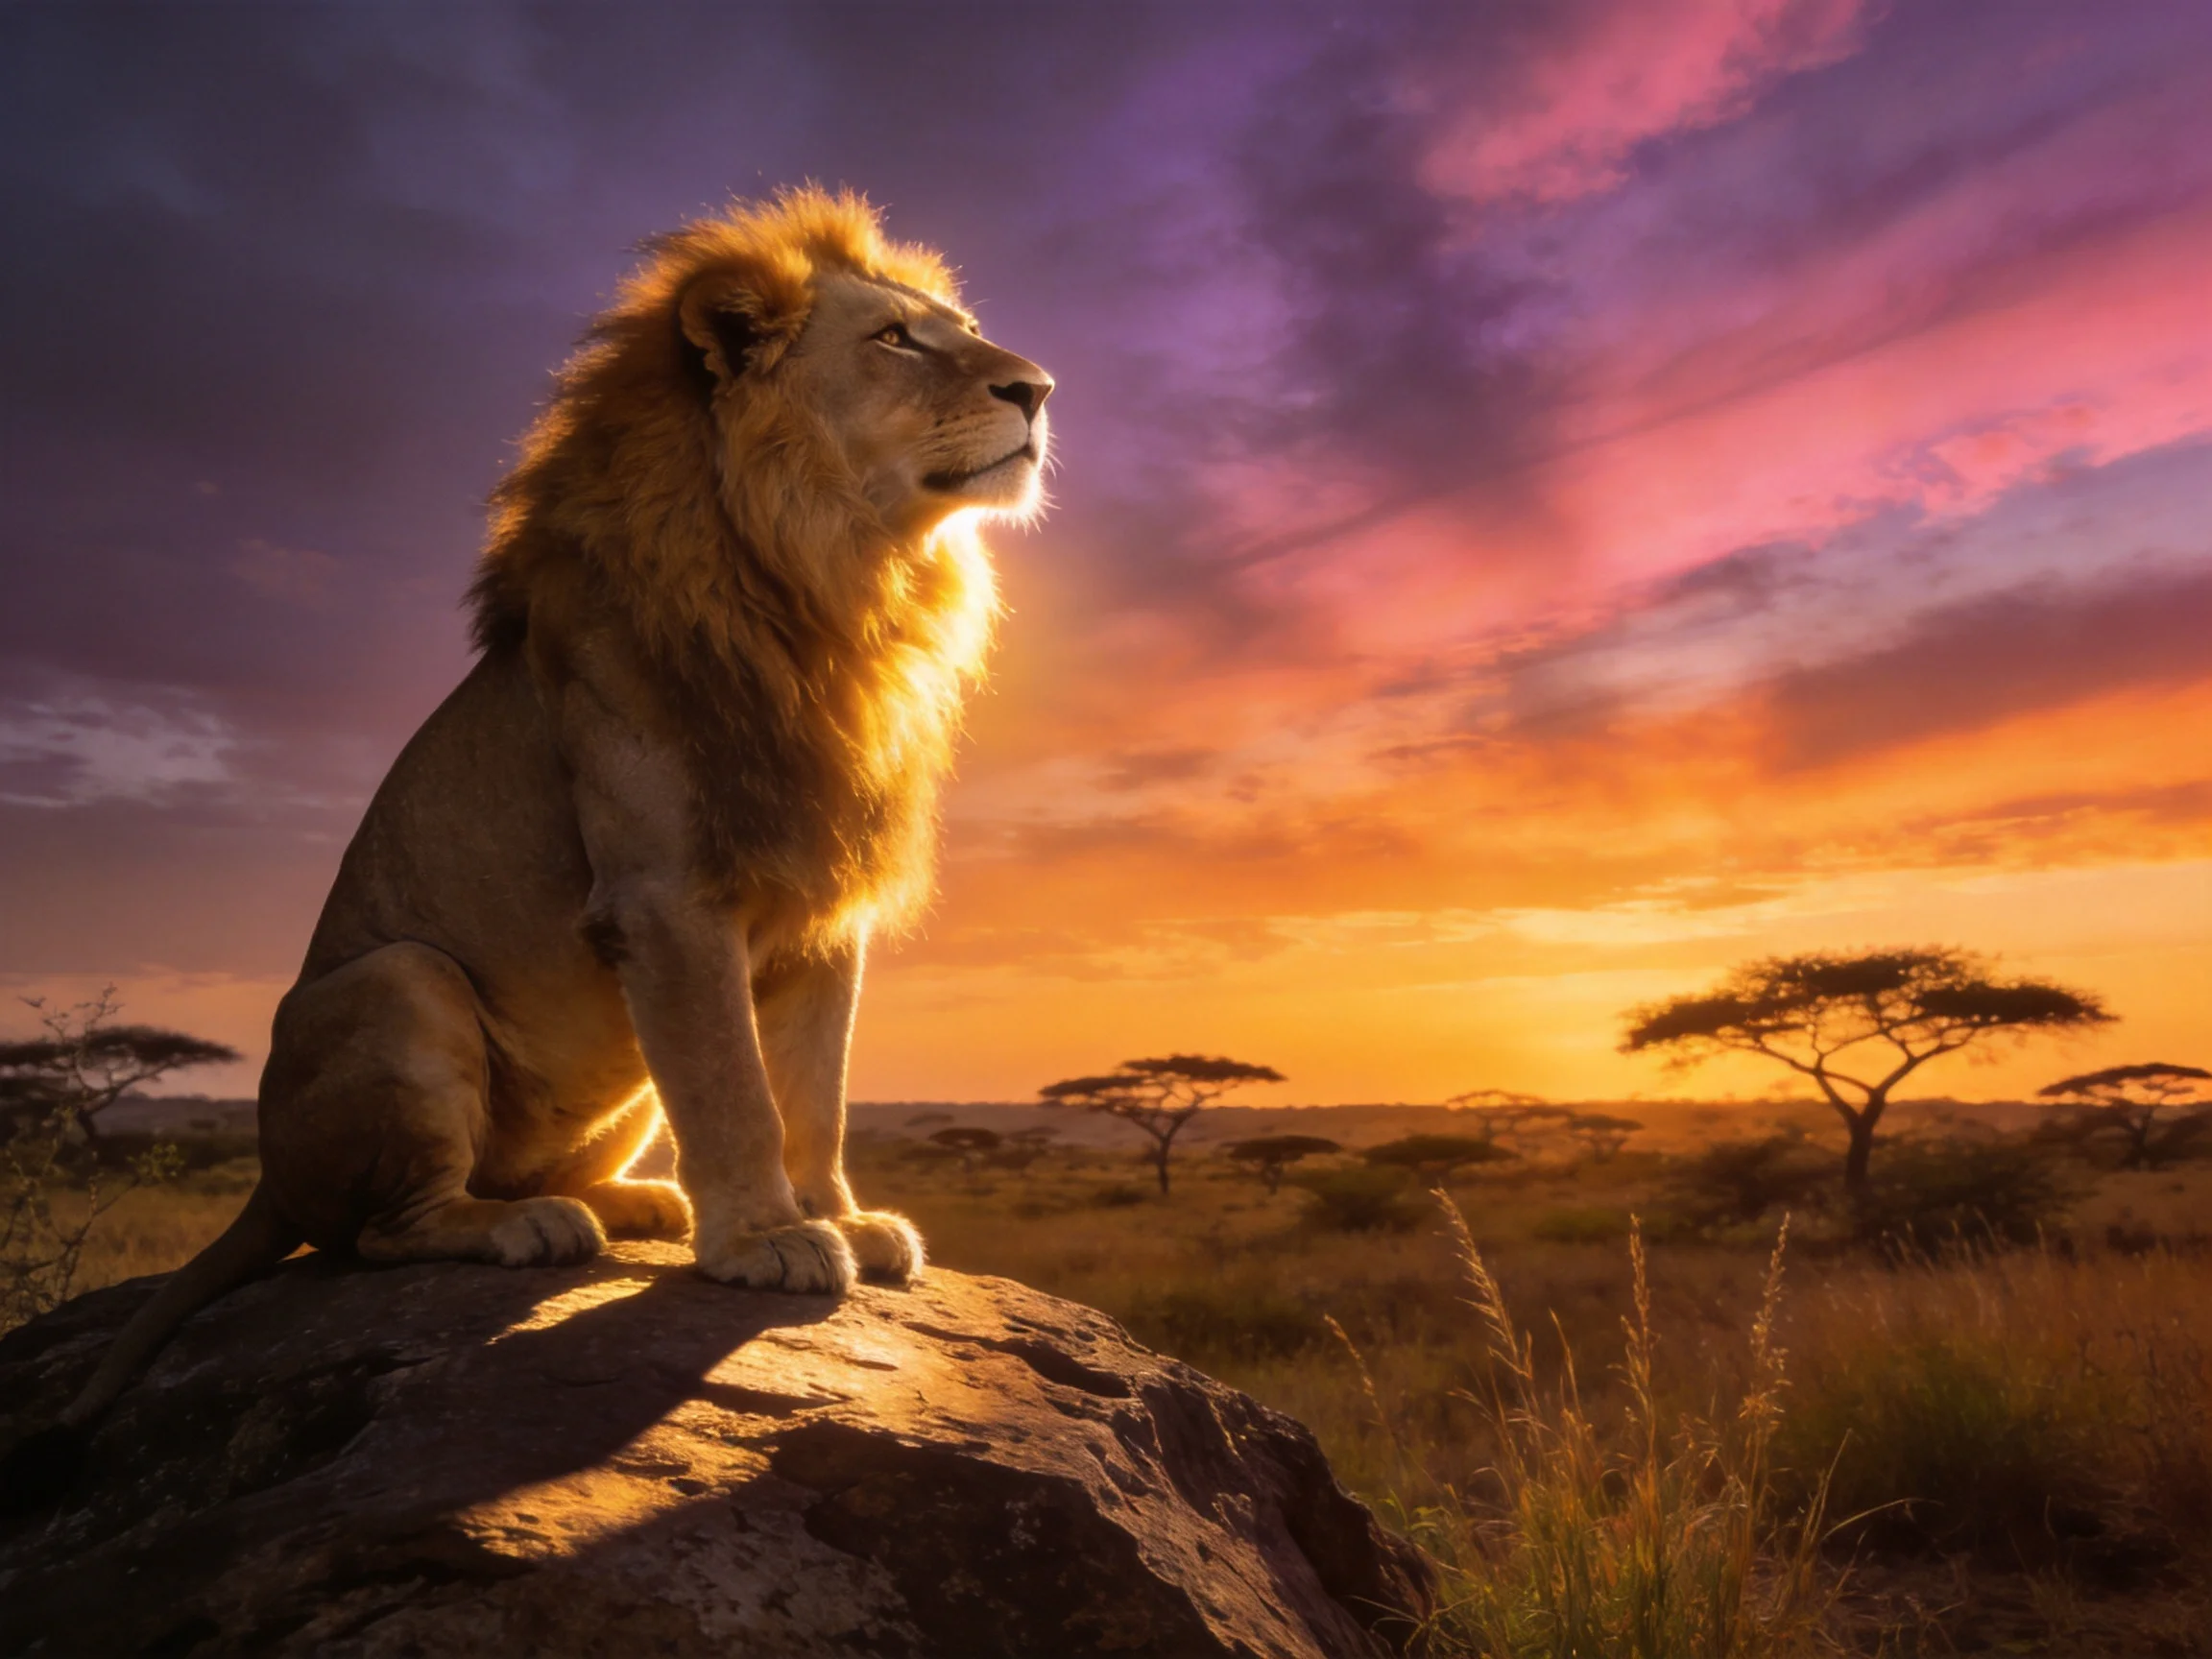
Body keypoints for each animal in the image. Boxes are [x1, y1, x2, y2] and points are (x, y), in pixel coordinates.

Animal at [19, 187, 1051, 1482]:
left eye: (955, 330)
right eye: (895, 340)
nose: (1040, 388)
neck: (832, 581)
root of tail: (260, 1174)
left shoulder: (822, 906)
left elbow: (816, 1090)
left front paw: (836, 1218)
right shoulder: (666, 898)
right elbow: (737, 1089)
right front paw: (766, 1240)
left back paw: (638, 1207)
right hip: (399, 982)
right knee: (378, 1233)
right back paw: (533, 1228)